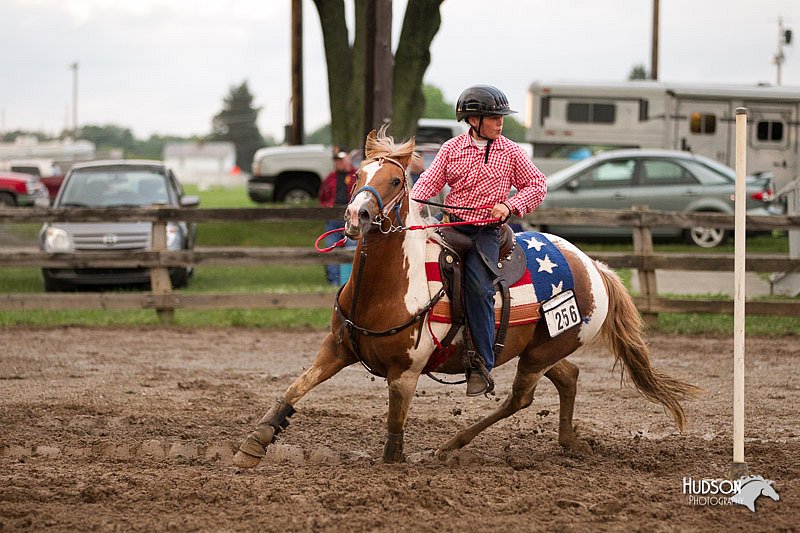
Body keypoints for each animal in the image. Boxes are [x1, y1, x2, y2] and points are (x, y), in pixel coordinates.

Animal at [233, 125, 700, 466]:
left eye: (396, 179)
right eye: (358, 175)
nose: (357, 216)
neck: (387, 286)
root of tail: (593, 266)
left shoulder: (404, 373)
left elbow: (394, 431)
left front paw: (394, 462)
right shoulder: (336, 348)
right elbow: (296, 387)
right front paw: (253, 444)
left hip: (539, 354)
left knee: (520, 397)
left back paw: (450, 446)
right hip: (545, 347)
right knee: (568, 377)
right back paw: (568, 442)